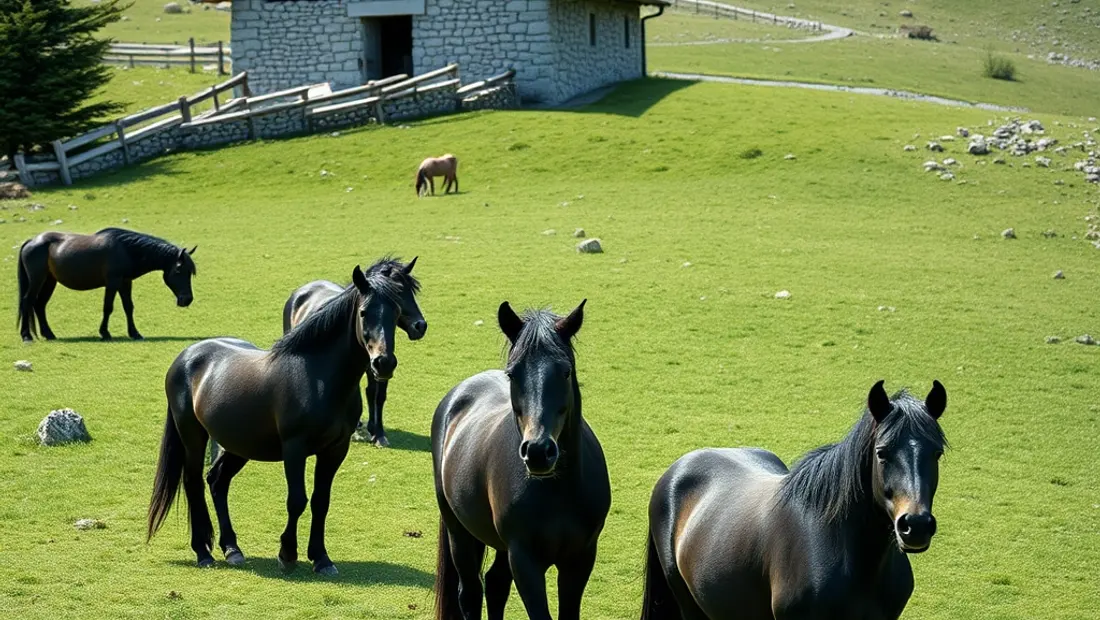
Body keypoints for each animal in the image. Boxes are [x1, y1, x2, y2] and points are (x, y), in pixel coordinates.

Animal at [16, 227, 197, 342]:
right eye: (179, 270)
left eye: (190, 272)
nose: (187, 299)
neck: (126, 250)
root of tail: (31, 241)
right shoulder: (112, 282)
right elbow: (108, 307)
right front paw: (105, 333)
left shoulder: (125, 282)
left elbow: (128, 307)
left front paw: (135, 333)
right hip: (37, 280)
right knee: (27, 301)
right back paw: (27, 336)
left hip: (49, 281)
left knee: (39, 305)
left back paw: (49, 334)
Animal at [147, 261, 404, 575]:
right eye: (364, 312)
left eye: (397, 312)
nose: (383, 363)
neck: (318, 376)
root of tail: (186, 356)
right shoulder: (295, 448)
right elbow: (297, 500)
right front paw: (287, 554)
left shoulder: (335, 450)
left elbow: (321, 501)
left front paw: (321, 558)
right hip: (193, 437)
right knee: (193, 482)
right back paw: (202, 552)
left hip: (238, 445)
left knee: (217, 481)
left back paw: (232, 548)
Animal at [281, 256, 426, 447]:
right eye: (400, 292)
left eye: (409, 291)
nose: (420, 326)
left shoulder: (381, 366)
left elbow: (377, 394)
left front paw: (378, 432)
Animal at [432, 300, 611, 620]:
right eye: (513, 374)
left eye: (565, 372)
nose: (538, 451)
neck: (558, 492)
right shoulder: (524, 560)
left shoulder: (580, 559)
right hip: (458, 532)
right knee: (471, 592)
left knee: (495, 584)